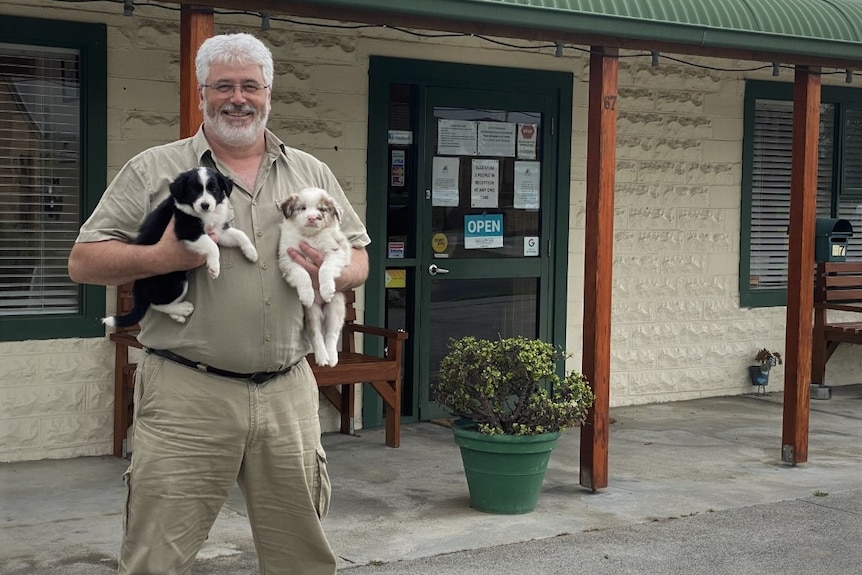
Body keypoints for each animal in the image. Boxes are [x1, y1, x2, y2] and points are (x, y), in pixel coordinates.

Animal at [103, 166, 258, 328]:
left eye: (213, 188)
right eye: (193, 190)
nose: (205, 205)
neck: (202, 214)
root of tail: (138, 290)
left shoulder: (218, 231)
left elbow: (240, 234)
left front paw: (251, 252)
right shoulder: (187, 230)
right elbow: (212, 247)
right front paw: (214, 267)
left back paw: (178, 315)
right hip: (176, 283)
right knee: (155, 304)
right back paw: (182, 309)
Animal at [278, 189, 350, 368]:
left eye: (322, 209)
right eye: (302, 208)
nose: (311, 218)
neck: (310, 236)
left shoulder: (336, 251)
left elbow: (324, 269)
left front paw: (326, 290)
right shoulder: (288, 258)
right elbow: (303, 275)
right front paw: (307, 295)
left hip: (336, 307)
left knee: (331, 334)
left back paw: (332, 357)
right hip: (311, 313)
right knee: (316, 335)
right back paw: (322, 357)